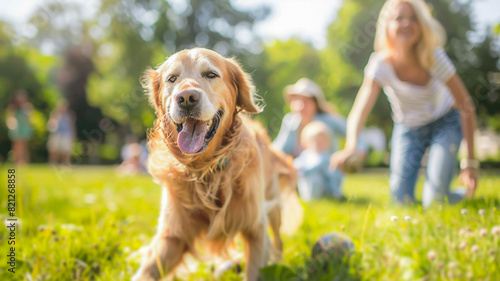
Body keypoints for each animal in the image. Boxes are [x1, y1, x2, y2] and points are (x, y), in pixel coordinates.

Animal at [132, 48, 300, 280]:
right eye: (172, 79)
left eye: (211, 74)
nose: (186, 98)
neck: (206, 170)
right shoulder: (172, 234)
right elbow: (146, 271)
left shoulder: (255, 228)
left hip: (272, 207)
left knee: (278, 241)